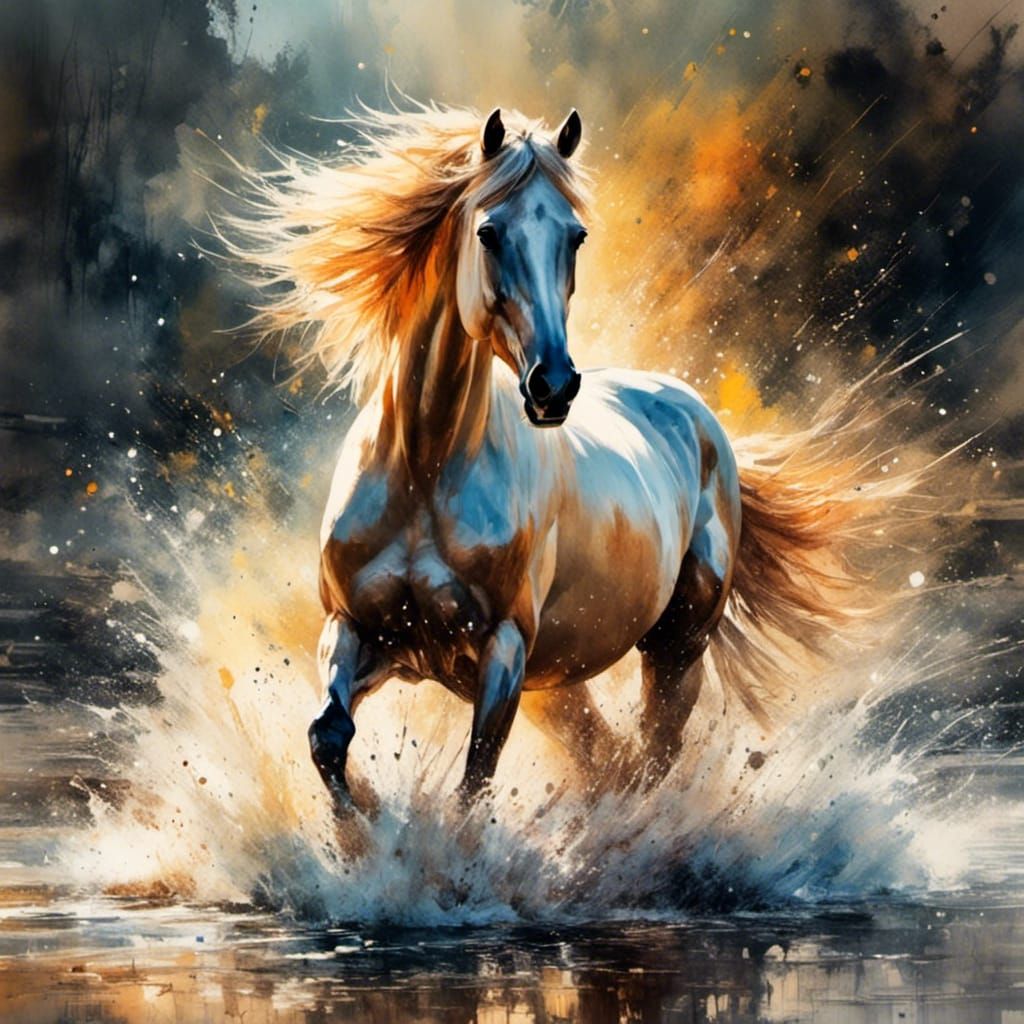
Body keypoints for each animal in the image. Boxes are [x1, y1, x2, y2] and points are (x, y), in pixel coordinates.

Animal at [224, 105, 852, 808]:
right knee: (608, 756)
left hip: (677, 648)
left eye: (576, 237)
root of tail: (696, 415)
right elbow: (327, 737)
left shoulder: (503, 650)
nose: (554, 385)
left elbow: (475, 779)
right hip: (563, 683)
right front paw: (362, 823)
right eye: (489, 231)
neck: (424, 469)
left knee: (651, 754)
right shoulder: (355, 630)